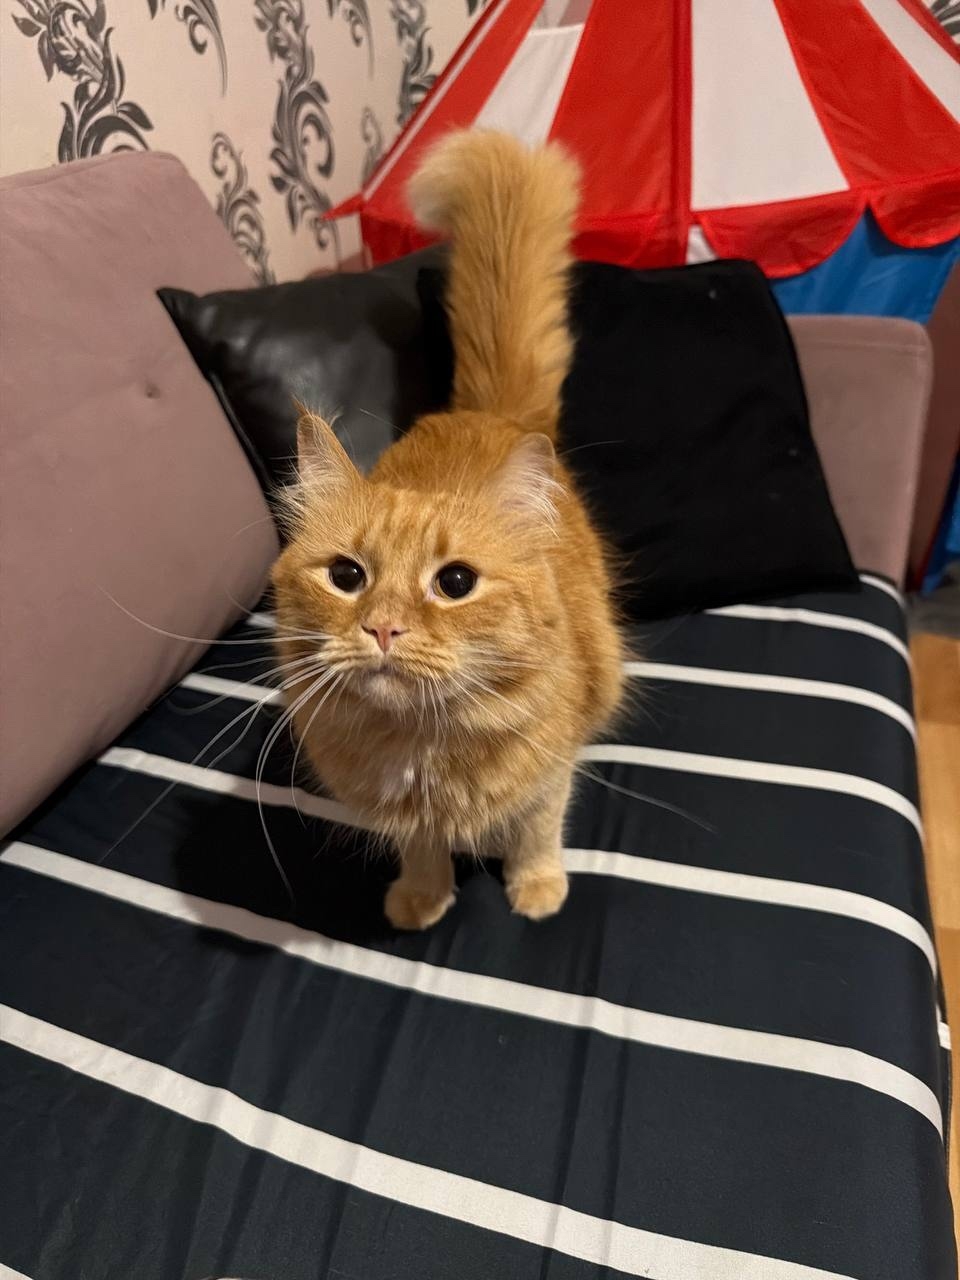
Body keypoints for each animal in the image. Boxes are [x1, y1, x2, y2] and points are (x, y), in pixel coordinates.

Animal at [271, 129, 625, 930]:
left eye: (455, 583)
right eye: (347, 576)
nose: (383, 628)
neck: (421, 748)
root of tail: (488, 413)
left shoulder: (548, 775)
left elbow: (537, 831)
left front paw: (535, 888)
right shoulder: (400, 812)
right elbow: (422, 847)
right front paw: (422, 899)